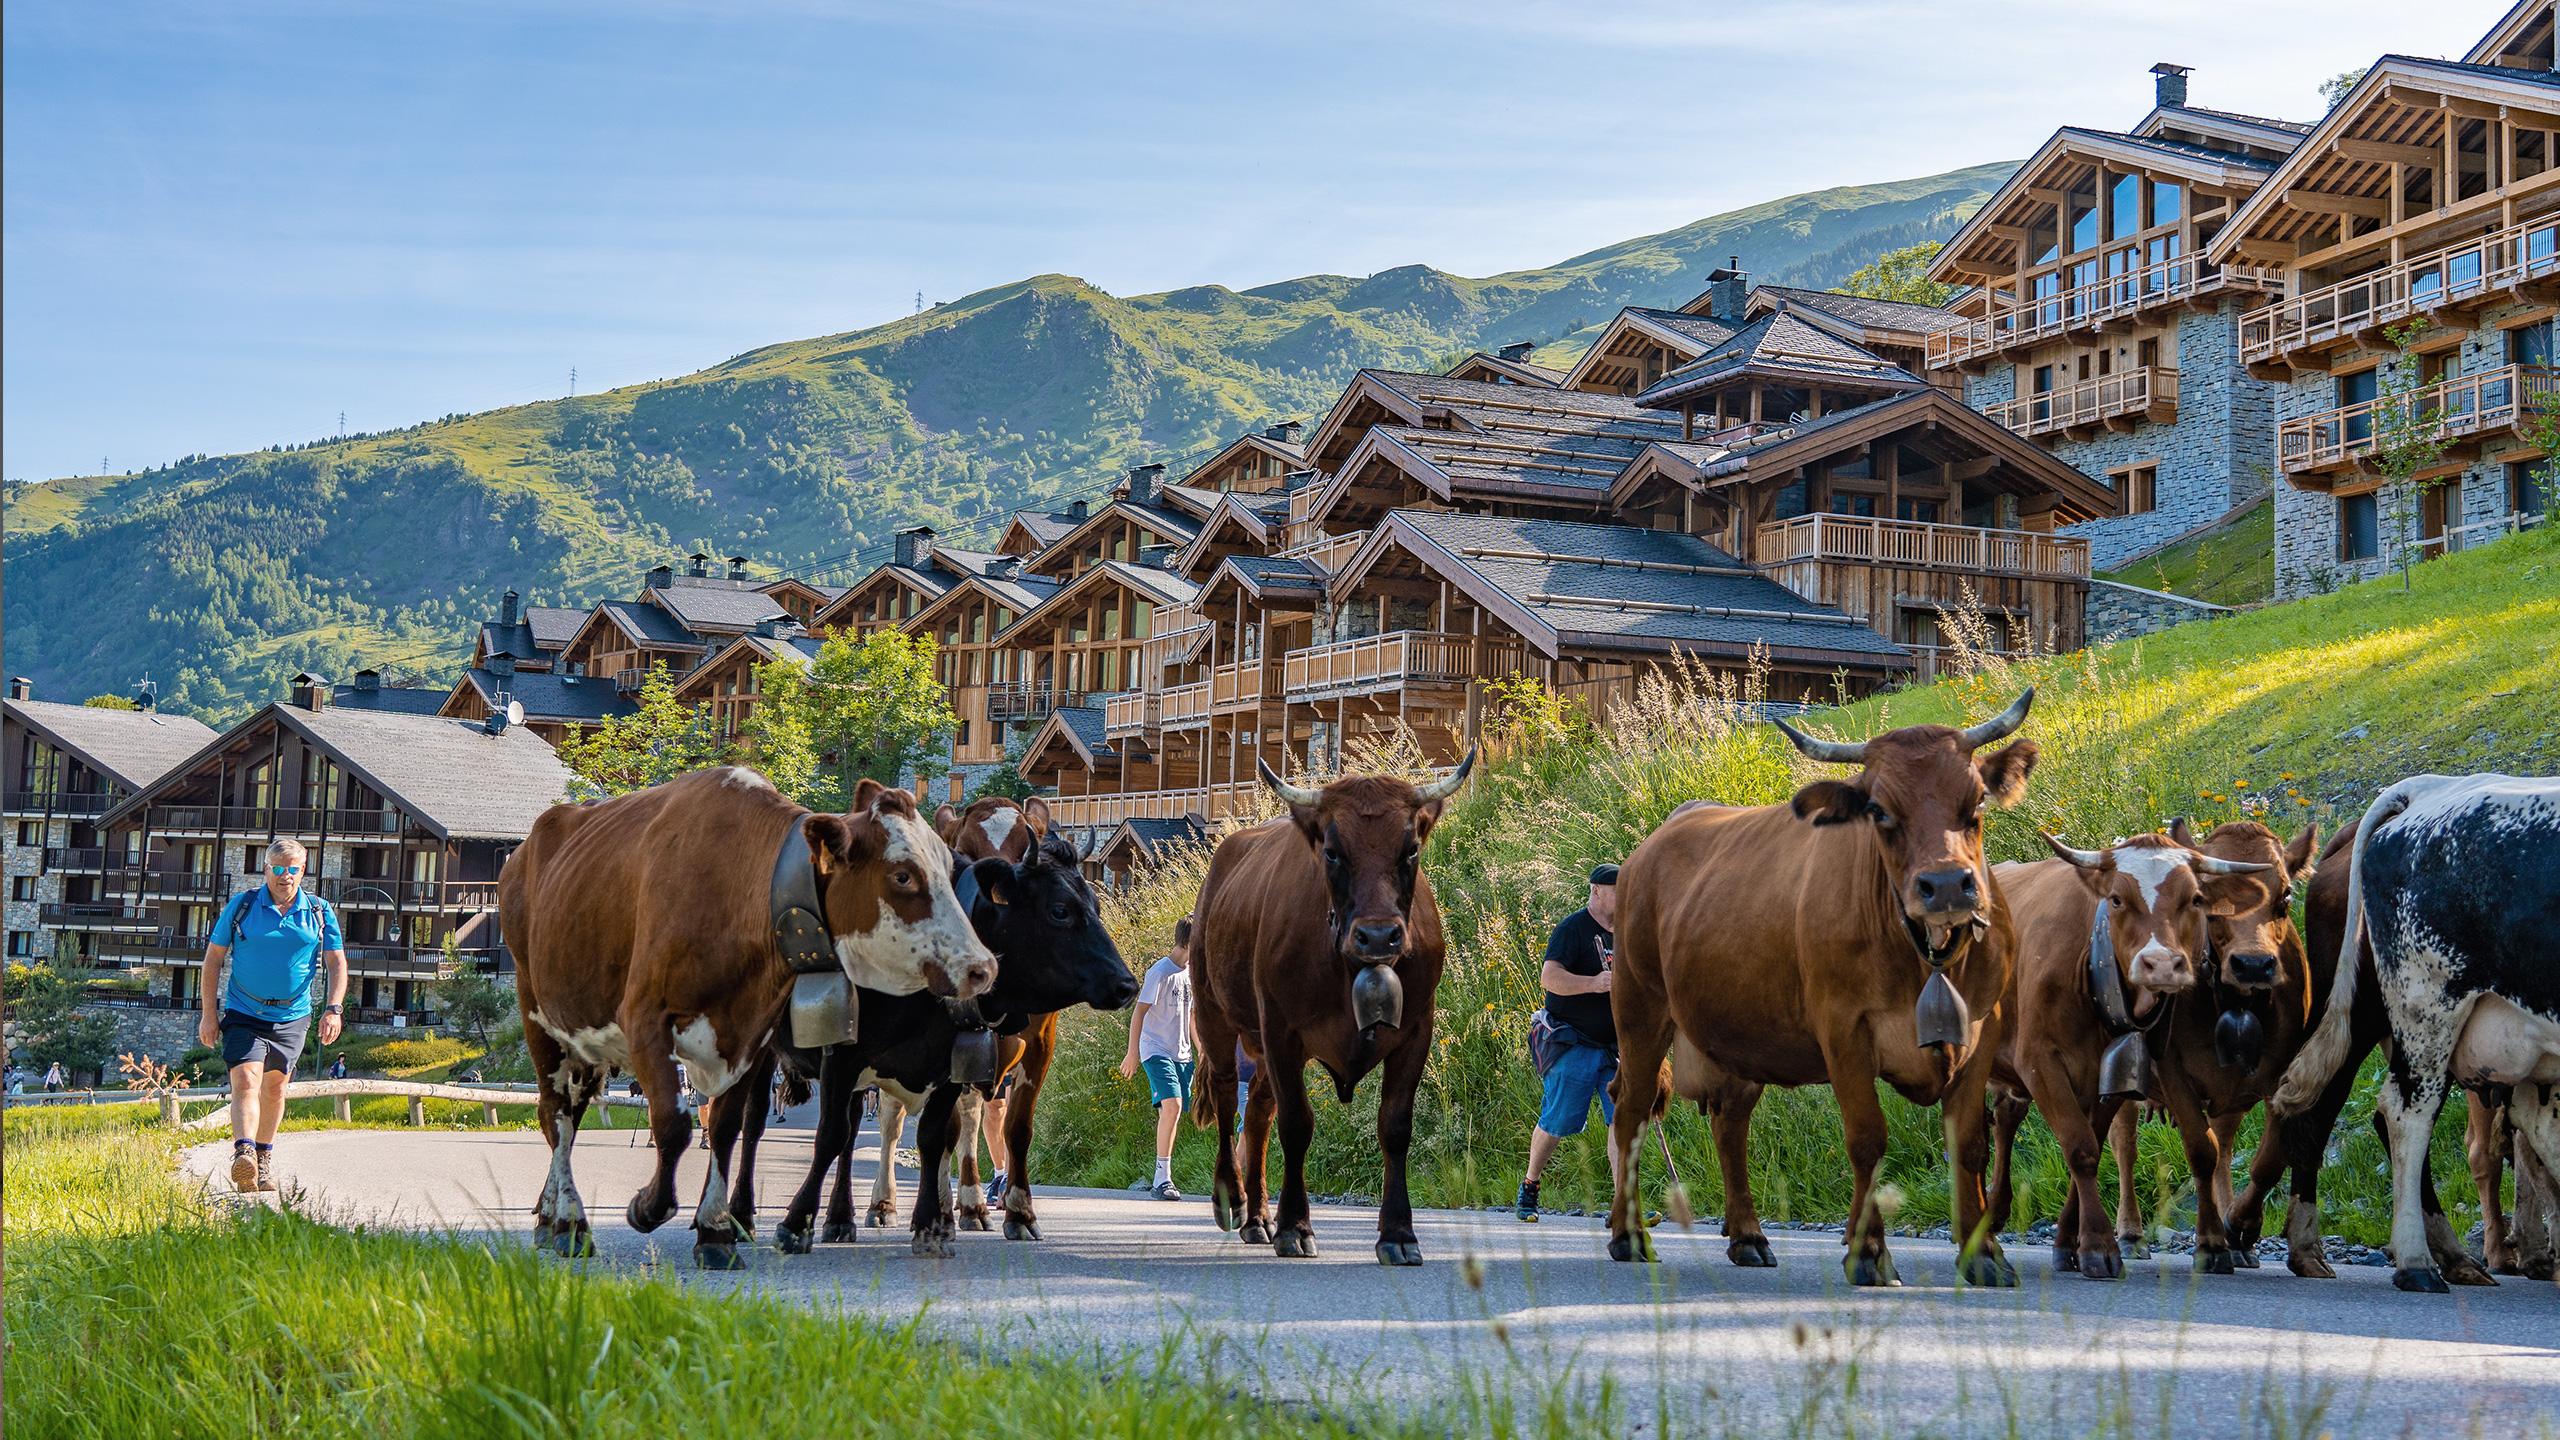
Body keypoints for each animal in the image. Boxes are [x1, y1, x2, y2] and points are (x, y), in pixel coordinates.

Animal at [499, 768, 988, 1260]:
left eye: (948, 870)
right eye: (902, 875)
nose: (982, 967)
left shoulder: (751, 1034)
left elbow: (726, 1125)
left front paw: (715, 1231)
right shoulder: (645, 1018)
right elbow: (674, 1122)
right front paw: (648, 1207)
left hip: (584, 1039)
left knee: (574, 1110)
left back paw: (550, 1217)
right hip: (536, 1009)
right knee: (556, 1114)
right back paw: (569, 1223)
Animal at [1182, 753, 1474, 1255]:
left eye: (1410, 849)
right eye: (1333, 852)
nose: (1378, 935)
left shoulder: (1417, 1030)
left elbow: (1395, 1127)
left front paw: (1398, 1233)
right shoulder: (1281, 1030)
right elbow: (1297, 1125)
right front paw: (1295, 1227)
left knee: (1257, 1112)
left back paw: (1257, 1219)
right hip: (1214, 1011)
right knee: (1225, 1093)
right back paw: (1233, 1201)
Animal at [1597, 691, 2037, 1281]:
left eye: (1977, 802)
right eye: (1878, 811)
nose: (1947, 884)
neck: (1927, 960)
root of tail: (1660, 836)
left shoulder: (1982, 1029)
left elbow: (1969, 1144)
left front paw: (1983, 1254)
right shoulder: (1843, 1028)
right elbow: (1868, 1139)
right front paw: (1868, 1252)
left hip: (1743, 1033)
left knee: (1730, 1124)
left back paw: (1748, 1236)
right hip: (1638, 1006)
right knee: (1631, 1111)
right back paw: (1629, 1235)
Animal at [1976, 825, 2283, 1270]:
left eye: (2195, 899)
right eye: (2117, 899)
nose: (2162, 964)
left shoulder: (2110, 1074)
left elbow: (2090, 1145)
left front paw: (2070, 1242)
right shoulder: (2039, 1062)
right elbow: (2081, 1148)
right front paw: (2098, 1246)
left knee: (2004, 1120)